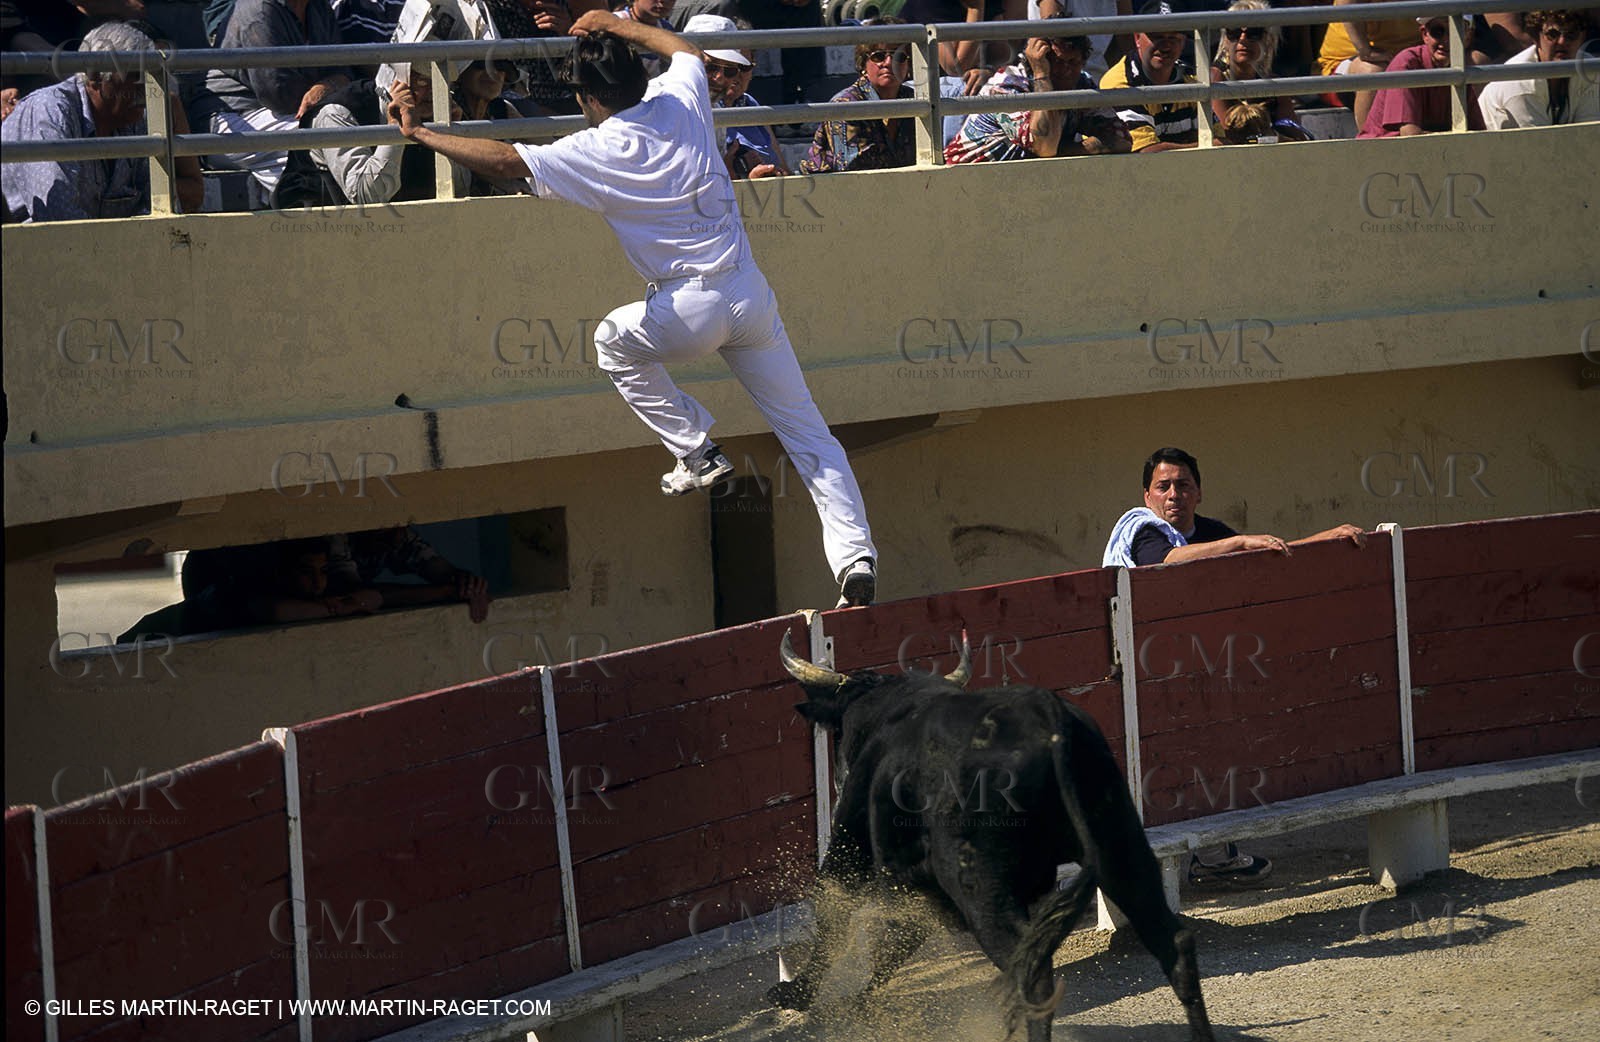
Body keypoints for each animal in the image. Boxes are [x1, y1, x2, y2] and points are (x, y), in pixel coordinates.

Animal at [769, 631, 1215, 1042]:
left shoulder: (854, 847)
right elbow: (893, 943)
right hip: (1122, 843)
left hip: (981, 890)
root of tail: (1047, 716)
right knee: (1173, 942)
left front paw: (798, 994)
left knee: (1033, 976)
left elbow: (835, 910)